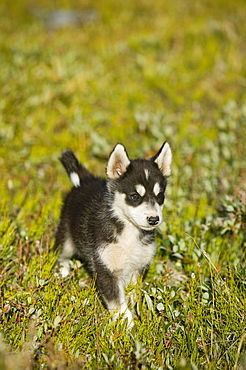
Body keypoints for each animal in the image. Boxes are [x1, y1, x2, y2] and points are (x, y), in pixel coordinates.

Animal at [54, 142, 172, 326]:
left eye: (160, 196)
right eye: (134, 196)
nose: (154, 219)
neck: (129, 232)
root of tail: (85, 181)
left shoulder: (138, 267)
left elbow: (133, 295)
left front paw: (136, 314)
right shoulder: (106, 268)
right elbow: (118, 303)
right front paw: (128, 326)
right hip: (66, 236)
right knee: (61, 254)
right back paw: (63, 273)